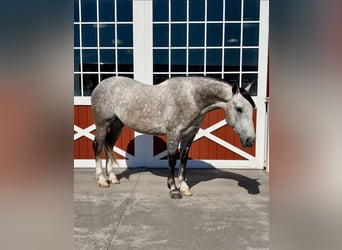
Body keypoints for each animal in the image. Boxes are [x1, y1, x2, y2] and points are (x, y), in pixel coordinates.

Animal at [91, 76, 256, 199]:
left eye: (253, 109)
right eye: (239, 109)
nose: (250, 140)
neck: (191, 98)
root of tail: (100, 85)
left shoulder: (189, 135)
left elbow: (183, 160)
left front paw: (184, 187)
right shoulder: (173, 134)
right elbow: (172, 160)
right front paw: (173, 189)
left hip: (117, 124)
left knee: (109, 145)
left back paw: (112, 177)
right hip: (102, 124)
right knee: (98, 146)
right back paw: (102, 180)